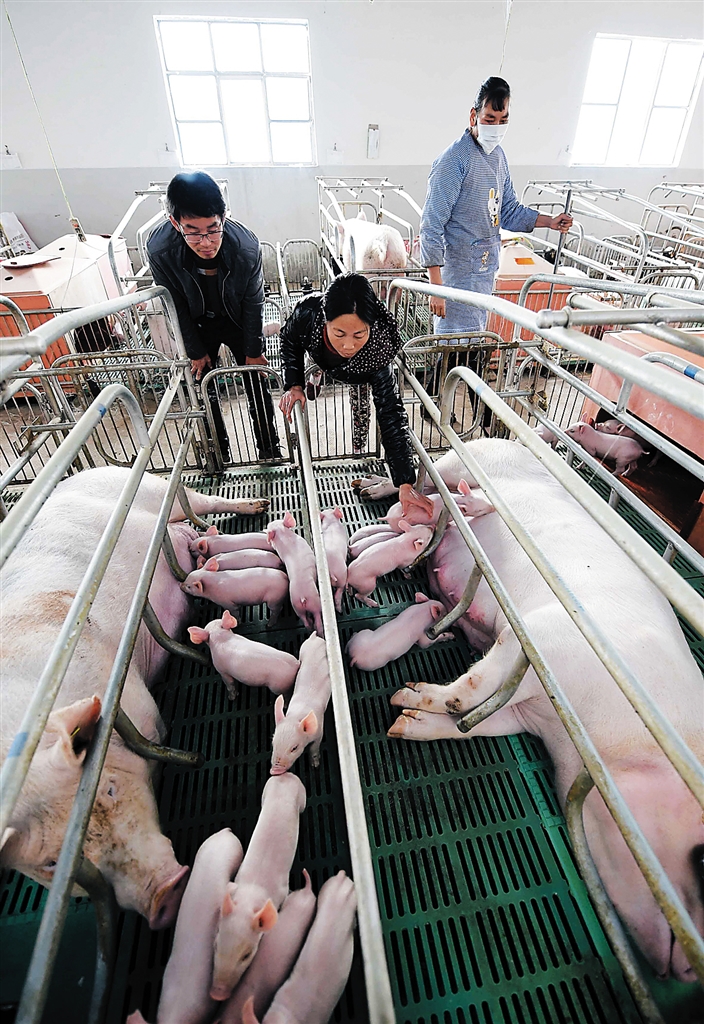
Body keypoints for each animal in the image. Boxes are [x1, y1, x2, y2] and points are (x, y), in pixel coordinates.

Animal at [0, 467, 266, 926]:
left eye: (108, 790)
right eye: (50, 865)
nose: (165, 895)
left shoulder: (141, 707)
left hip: (157, 491)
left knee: (199, 501)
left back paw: (259, 505)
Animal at [211, 774, 307, 1001]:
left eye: (246, 955)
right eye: (217, 944)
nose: (216, 994)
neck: (251, 893)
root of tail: (287, 776)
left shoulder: (281, 892)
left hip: (302, 795)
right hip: (266, 790)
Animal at [271, 633, 331, 774]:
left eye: (294, 748)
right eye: (273, 742)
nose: (274, 770)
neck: (296, 716)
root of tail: (315, 637)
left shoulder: (319, 733)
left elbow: (314, 749)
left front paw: (315, 766)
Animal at [388, 438, 704, 982]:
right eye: (702, 860)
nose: (686, 972)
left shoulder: (530, 710)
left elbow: (475, 725)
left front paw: (401, 720)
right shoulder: (546, 634)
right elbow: (475, 683)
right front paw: (411, 696)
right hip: (455, 460)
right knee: (429, 478)